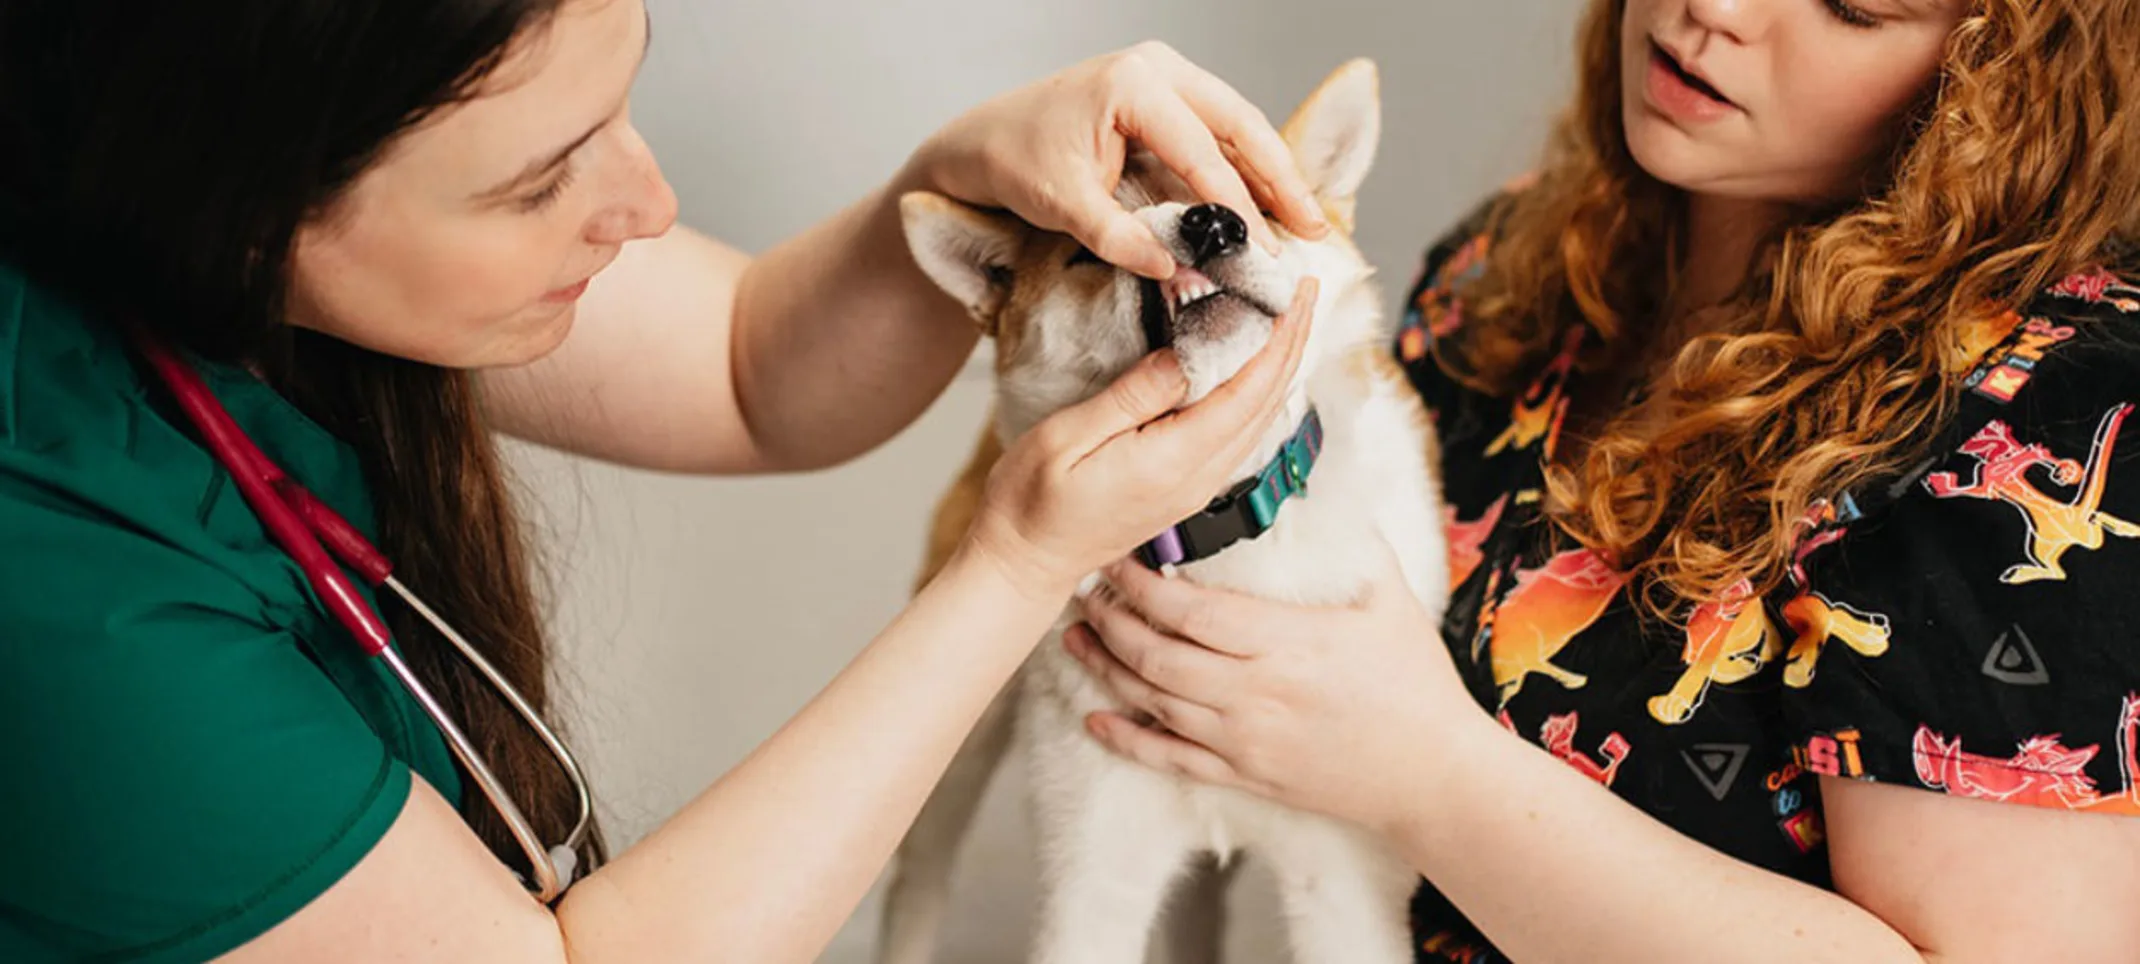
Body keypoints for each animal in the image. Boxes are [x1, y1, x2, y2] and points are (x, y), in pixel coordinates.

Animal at [877, 60, 1446, 964]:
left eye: (1251, 198)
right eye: (1086, 249)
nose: (1211, 223)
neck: (1229, 530)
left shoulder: (1346, 889)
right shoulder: (1091, 876)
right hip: (953, 736)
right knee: (918, 883)